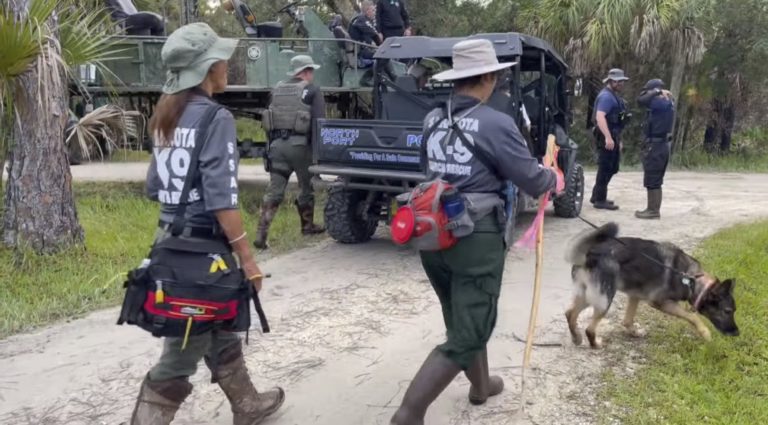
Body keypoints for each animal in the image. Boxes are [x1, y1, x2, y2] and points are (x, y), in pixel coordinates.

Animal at [564, 220, 736, 346]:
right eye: (727, 311)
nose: (737, 333)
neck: (692, 279)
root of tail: (590, 254)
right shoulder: (661, 303)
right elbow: (692, 317)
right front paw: (705, 332)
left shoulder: (635, 296)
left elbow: (627, 320)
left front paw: (633, 332)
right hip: (604, 298)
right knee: (589, 329)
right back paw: (595, 343)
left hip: (588, 295)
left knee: (569, 313)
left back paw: (576, 337)